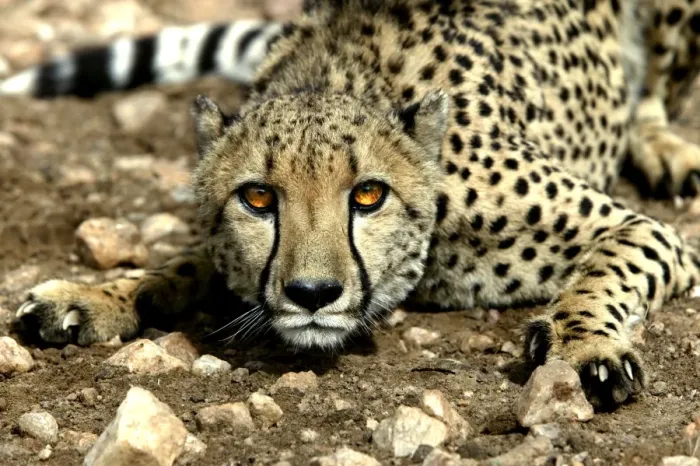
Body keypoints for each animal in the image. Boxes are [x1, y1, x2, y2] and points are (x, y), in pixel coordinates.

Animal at [7, 0, 700, 410]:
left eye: (369, 194)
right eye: (258, 197)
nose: (313, 295)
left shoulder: (644, 229)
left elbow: (605, 272)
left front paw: (586, 348)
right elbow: (185, 264)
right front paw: (96, 296)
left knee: (656, 94)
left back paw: (665, 147)